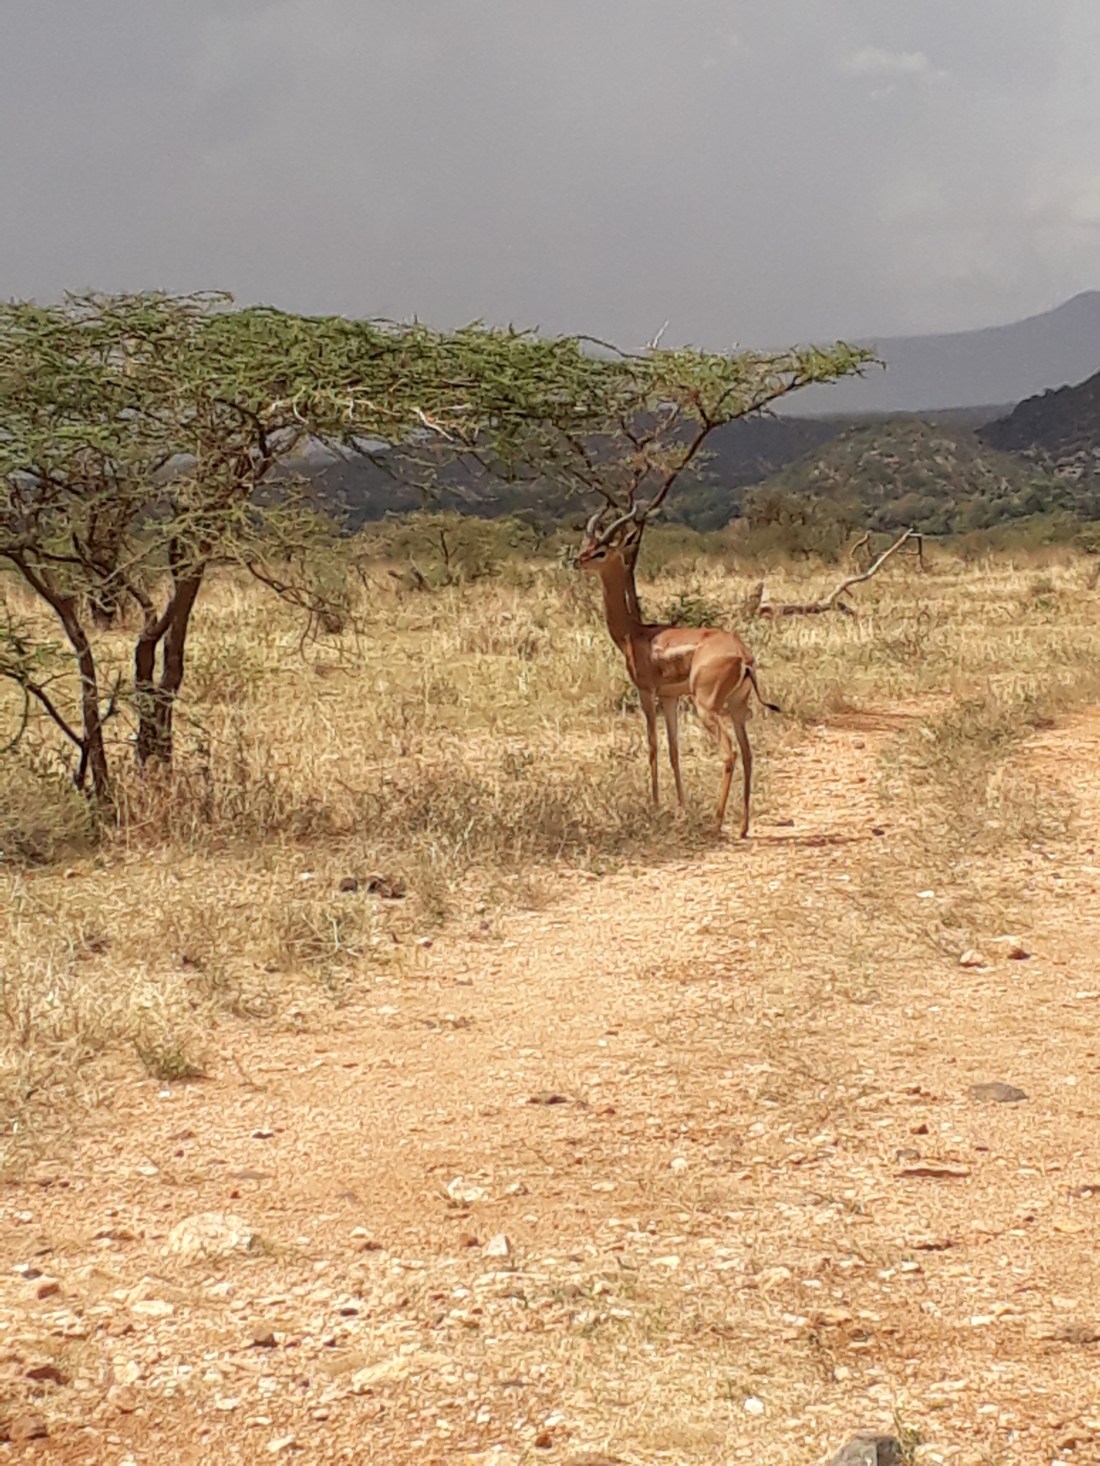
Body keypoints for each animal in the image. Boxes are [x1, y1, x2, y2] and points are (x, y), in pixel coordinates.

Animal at [575, 507, 779, 837]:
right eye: (587, 543)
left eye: (601, 551)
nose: (576, 560)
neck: (635, 635)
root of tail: (743, 657)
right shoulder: (670, 698)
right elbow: (673, 749)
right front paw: (681, 809)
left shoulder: (646, 693)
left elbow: (653, 747)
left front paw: (656, 806)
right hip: (737, 708)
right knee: (748, 754)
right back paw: (742, 826)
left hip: (706, 708)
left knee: (730, 753)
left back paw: (716, 822)